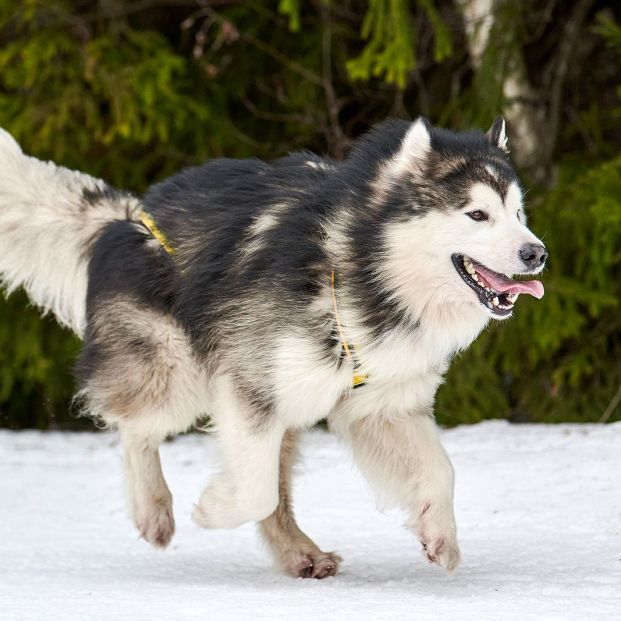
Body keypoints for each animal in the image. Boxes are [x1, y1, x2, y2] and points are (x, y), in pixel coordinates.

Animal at [0, 116, 544, 576]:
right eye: (477, 214)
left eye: (517, 213)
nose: (535, 252)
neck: (361, 270)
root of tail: (129, 216)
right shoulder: (249, 387)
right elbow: (255, 492)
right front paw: (214, 510)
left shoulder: (382, 405)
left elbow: (441, 471)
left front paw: (440, 534)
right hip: (177, 375)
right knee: (136, 430)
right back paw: (154, 508)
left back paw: (299, 553)